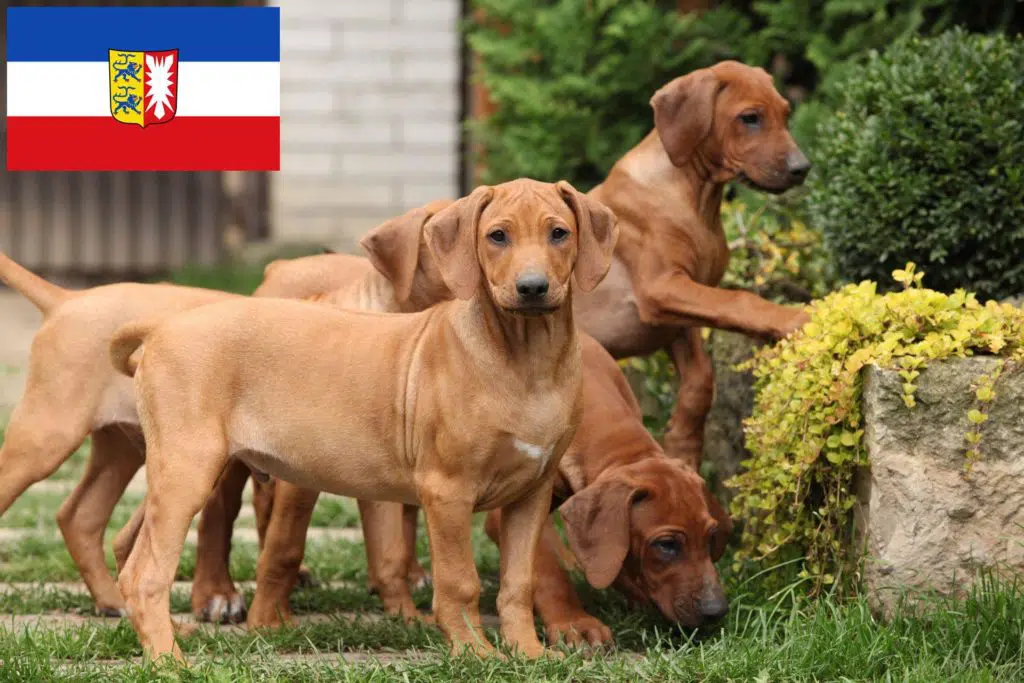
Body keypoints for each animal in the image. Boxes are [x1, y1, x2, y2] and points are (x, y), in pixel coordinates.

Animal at [105, 179, 614, 659]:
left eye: (559, 233)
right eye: (497, 236)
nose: (532, 288)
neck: (526, 359)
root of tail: (160, 328)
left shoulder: (532, 492)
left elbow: (517, 583)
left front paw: (526, 653)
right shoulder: (447, 491)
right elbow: (460, 581)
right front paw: (474, 651)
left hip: (180, 471)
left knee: (133, 552)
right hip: (190, 470)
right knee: (146, 574)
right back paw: (170, 658)